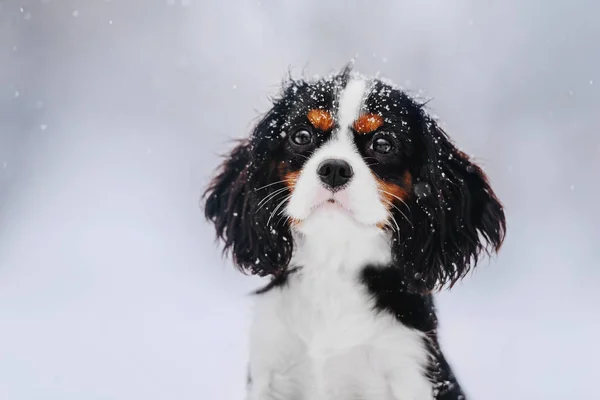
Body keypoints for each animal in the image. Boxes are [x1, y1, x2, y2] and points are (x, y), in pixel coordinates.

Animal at [204, 67, 504, 398]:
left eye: (383, 144)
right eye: (301, 136)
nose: (334, 168)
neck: (335, 265)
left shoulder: (409, 367)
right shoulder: (268, 367)